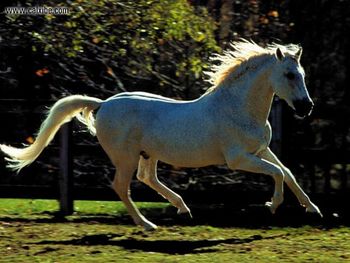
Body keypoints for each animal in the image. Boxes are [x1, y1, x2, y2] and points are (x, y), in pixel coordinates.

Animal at [0, 39, 322, 231]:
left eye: (303, 74)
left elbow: (288, 173)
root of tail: (102, 104)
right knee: (121, 186)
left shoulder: (261, 150)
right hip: (125, 157)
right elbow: (277, 174)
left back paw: (182, 209)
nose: (306, 108)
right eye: (289, 75)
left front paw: (313, 209)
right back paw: (147, 224)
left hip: (148, 154)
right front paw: (273, 206)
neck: (237, 107)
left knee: (147, 178)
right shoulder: (239, 159)